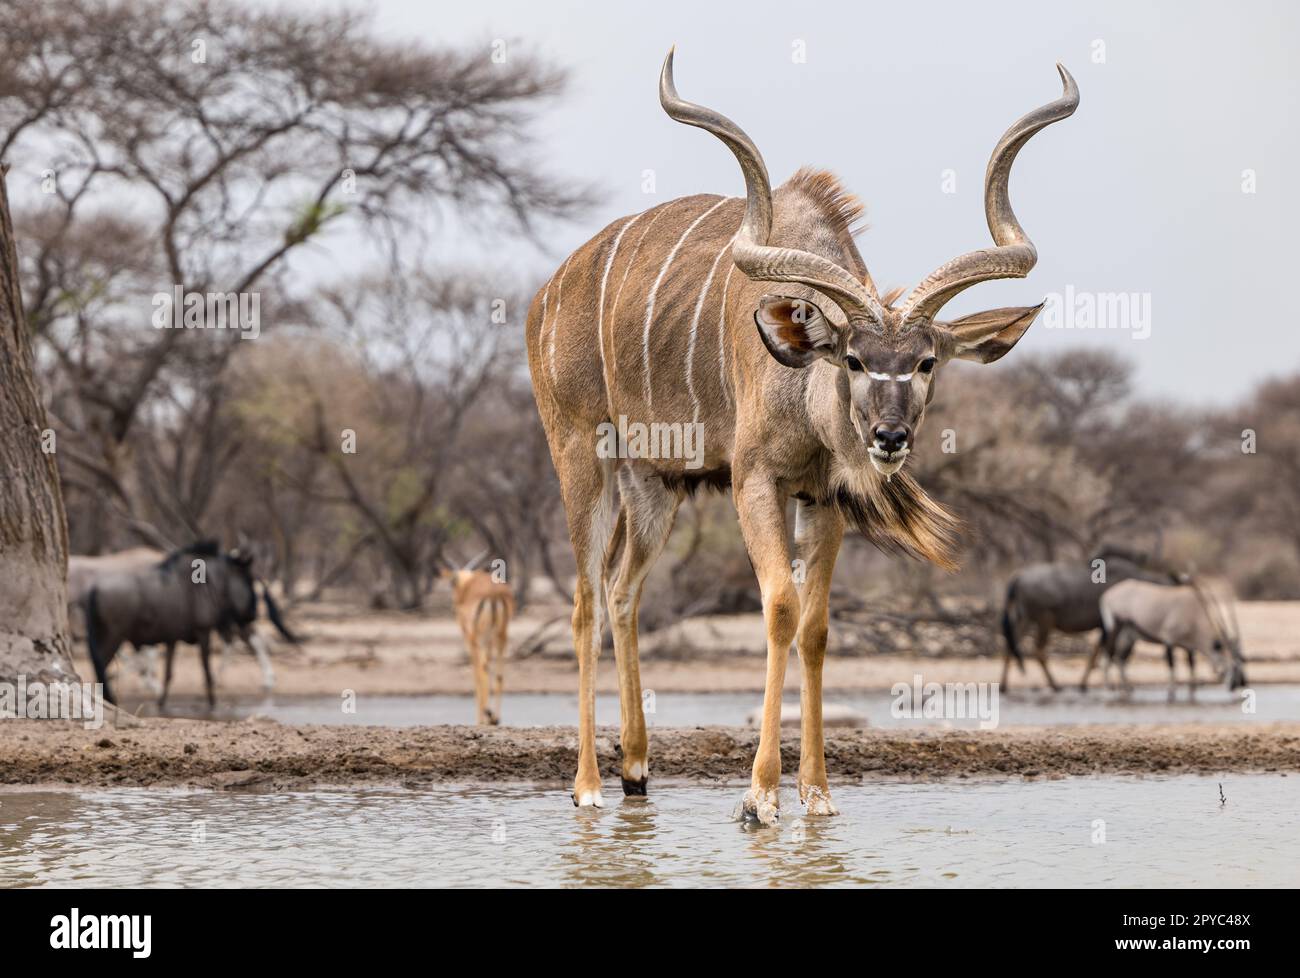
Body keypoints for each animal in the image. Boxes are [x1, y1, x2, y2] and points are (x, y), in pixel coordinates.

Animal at [522, 49, 1081, 821]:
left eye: (926, 362)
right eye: (853, 359)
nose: (889, 436)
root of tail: (545, 295)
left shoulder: (825, 497)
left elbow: (816, 626)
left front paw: (816, 793)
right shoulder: (756, 481)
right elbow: (780, 607)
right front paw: (760, 796)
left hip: (655, 483)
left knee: (621, 588)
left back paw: (636, 768)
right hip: (581, 453)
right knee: (582, 600)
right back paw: (588, 785)